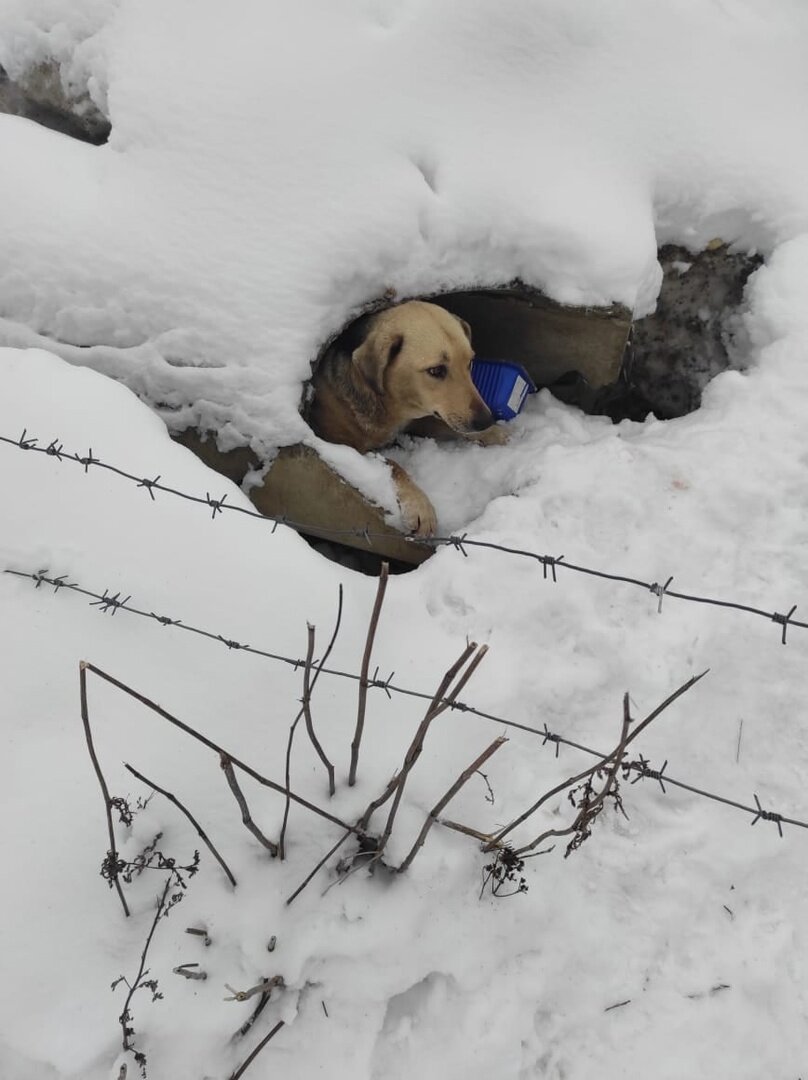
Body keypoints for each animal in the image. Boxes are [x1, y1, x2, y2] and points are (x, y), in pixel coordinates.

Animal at [306, 300, 505, 535]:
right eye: (436, 370)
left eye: (470, 363)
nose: (486, 420)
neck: (387, 405)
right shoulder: (341, 445)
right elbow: (393, 464)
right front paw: (420, 506)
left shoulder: (420, 417)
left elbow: (442, 422)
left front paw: (492, 433)